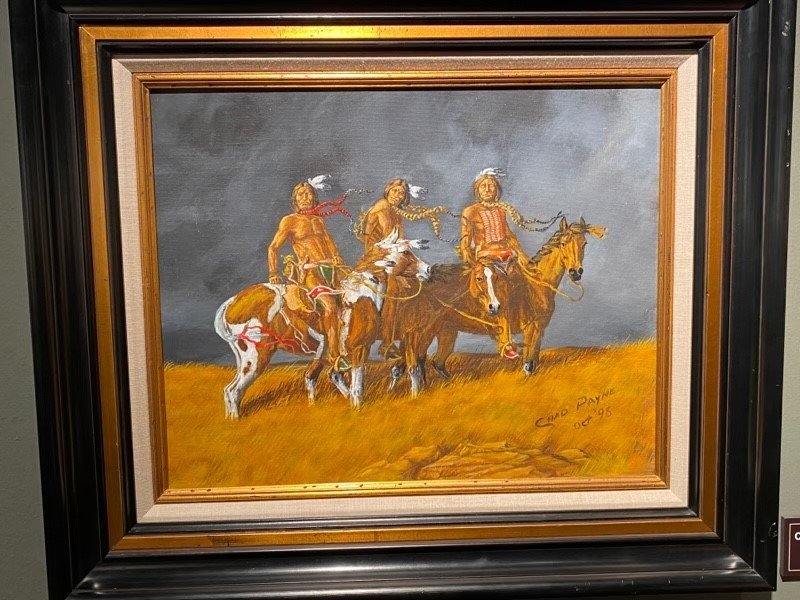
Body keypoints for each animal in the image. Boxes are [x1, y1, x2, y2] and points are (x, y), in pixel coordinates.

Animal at [213, 229, 430, 417]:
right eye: (405, 251)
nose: (428, 269)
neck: (360, 294)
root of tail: (232, 302)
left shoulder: (332, 354)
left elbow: (331, 378)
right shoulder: (360, 349)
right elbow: (356, 389)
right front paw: (357, 410)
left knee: (230, 392)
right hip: (255, 358)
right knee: (234, 391)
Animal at [426, 217, 607, 378]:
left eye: (584, 243)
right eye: (563, 244)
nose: (576, 273)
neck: (536, 284)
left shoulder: (540, 328)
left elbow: (533, 362)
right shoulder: (530, 328)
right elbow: (528, 364)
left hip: (447, 331)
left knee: (438, 362)